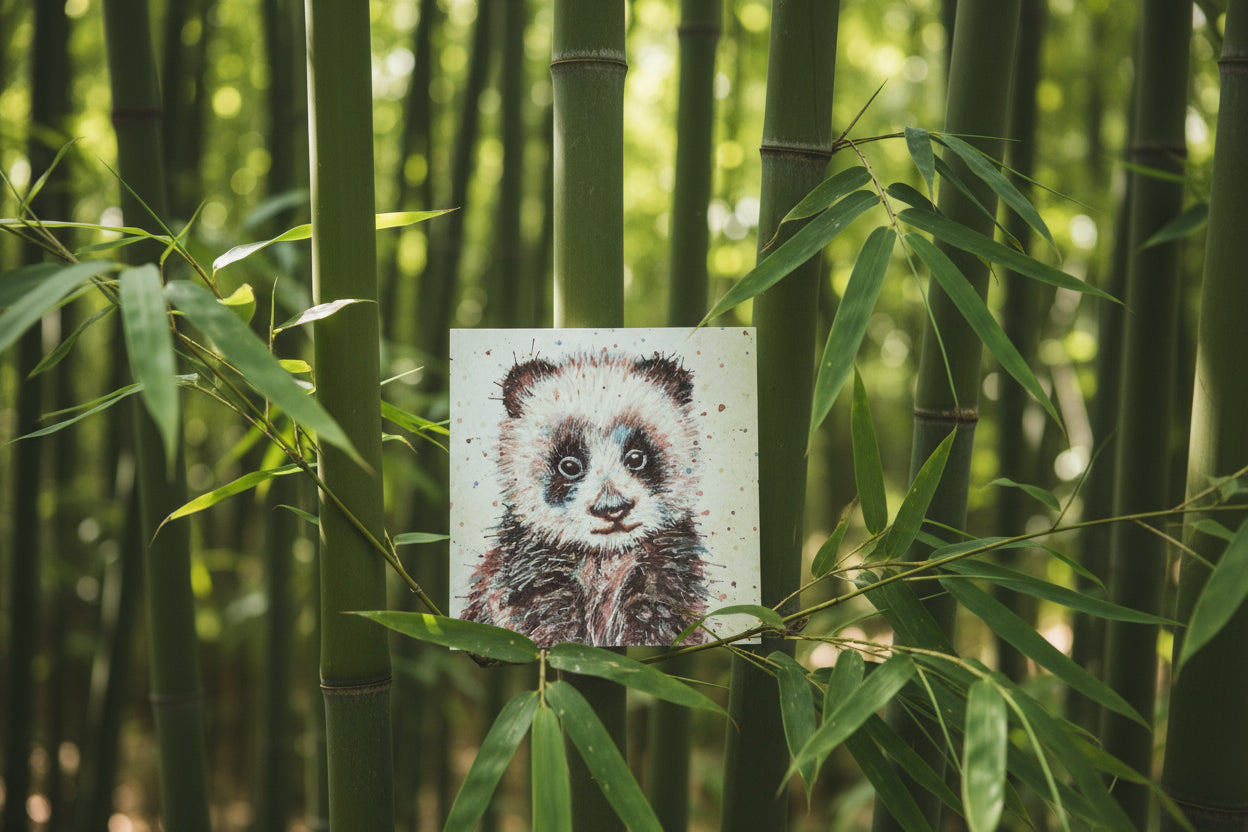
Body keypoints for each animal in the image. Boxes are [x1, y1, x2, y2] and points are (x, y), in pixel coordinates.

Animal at [463, 349, 711, 648]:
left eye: (636, 457)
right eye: (569, 465)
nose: (613, 509)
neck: (606, 558)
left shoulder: (668, 572)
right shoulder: (528, 575)